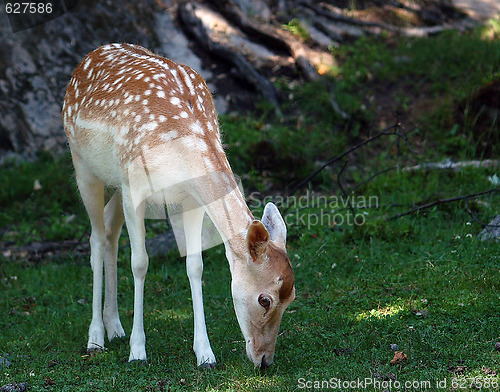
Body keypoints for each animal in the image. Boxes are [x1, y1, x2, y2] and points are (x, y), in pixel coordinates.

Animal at [63, 44, 296, 370]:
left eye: (292, 298)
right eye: (265, 299)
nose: (264, 360)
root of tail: (87, 58)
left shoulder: (191, 199)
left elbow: (195, 266)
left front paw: (206, 354)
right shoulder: (134, 187)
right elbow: (140, 263)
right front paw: (138, 351)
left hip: (116, 184)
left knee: (110, 230)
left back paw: (115, 327)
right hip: (83, 166)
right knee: (96, 238)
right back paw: (96, 337)